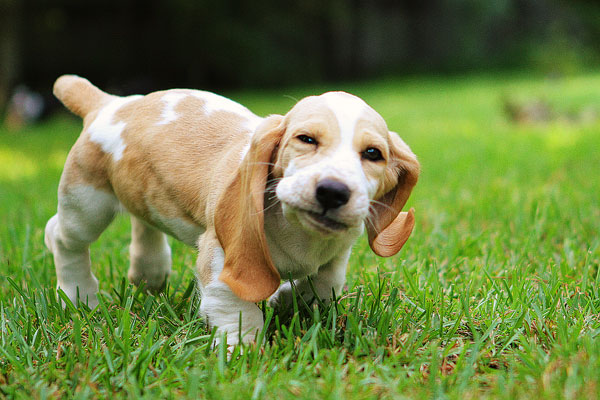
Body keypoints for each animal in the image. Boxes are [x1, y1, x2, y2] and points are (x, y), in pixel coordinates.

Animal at [45, 76, 418, 346]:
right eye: (306, 139)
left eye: (373, 153)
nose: (333, 191)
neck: (299, 230)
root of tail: (111, 103)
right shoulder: (222, 255)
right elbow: (237, 307)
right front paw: (240, 350)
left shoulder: (336, 255)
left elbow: (325, 283)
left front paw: (286, 301)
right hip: (86, 204)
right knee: (62, 238)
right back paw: (78, 295)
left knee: (143, 221)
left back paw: (149, 272)